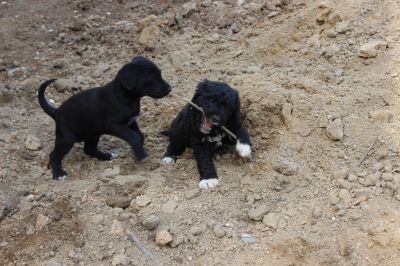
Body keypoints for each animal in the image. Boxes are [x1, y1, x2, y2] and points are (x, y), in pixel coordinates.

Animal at [39, 56, 172, 181]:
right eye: (153, 80)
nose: (170, 88)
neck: (122, 96)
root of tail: (56, 112)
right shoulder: (114, 125)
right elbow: (134, 137)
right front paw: (142, 155)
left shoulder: (131, 121)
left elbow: (140, 135)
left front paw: (138, 150)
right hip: (66, 139)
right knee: (54, 155)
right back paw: (59, 174)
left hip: (92, 133)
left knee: (89, 149)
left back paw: (106, 156)